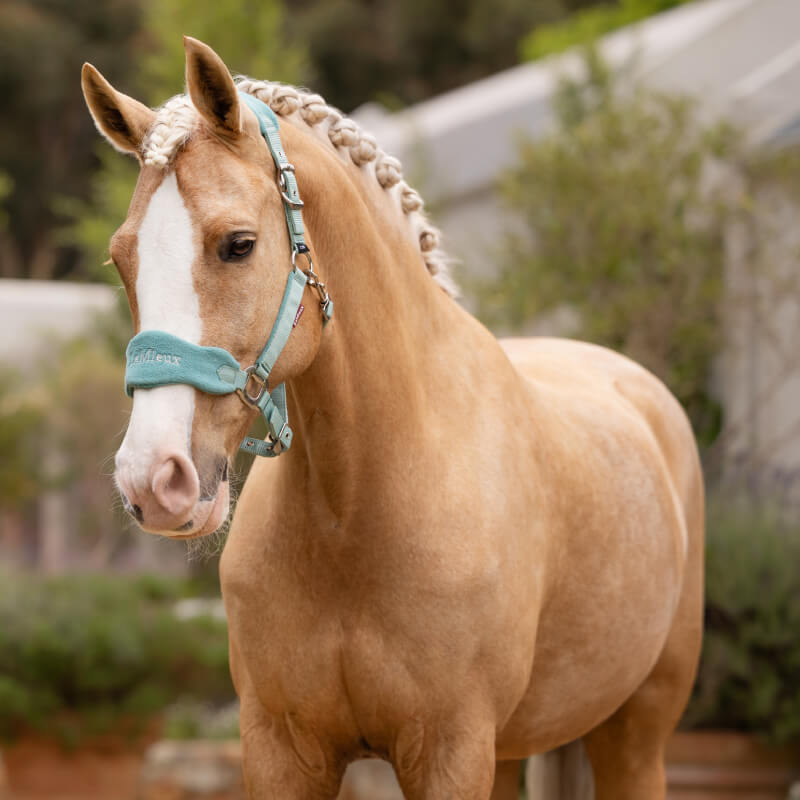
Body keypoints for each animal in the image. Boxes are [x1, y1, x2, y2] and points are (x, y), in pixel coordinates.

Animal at [81, 37, 704, 799]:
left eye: (238, 244)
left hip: (634, 737)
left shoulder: (449, 752)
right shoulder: (281, 750)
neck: (356, 513)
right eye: (121, 258)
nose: (152, 479)